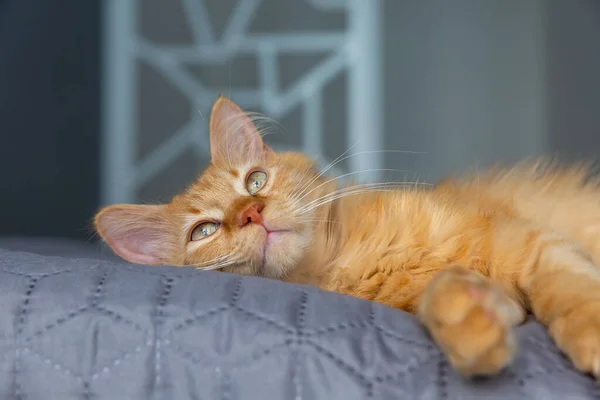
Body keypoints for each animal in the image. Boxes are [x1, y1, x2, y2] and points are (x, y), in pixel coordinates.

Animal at [95, 96, 600, 378]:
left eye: (255, 181)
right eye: (204, 230)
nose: (252, 213)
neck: (346, 258)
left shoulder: (527, 242)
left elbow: (569, 292)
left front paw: (590, 334)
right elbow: (445, 294)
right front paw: (471, 328)